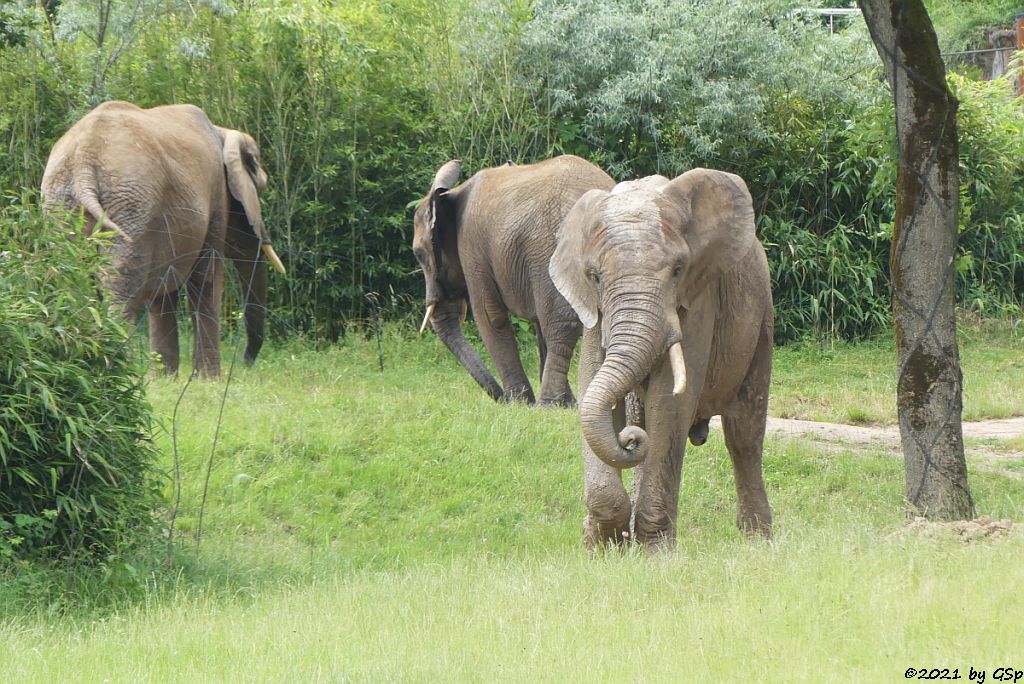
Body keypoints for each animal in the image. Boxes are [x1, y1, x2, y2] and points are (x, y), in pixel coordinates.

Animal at [39, 100, 284, 378]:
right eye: (261, 188)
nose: (246, 361)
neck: (221, 131)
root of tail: (83, 161)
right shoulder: (216, 195)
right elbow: (207, 276)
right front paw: (208, 380)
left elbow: (163, 287)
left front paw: (166, 377)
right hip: (131, 204)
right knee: (120, 283)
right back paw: (120, 371)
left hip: (64, 204)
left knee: (74, 283)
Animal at [411, 154, 610, 405]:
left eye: (418, 254)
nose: (501, 398)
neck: (450, 195)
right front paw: (561, 405)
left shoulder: (472, 247)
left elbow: (490, 316)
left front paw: (520, 403)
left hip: (551, 249)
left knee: (559, 325)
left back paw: (546, 405)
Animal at [548, 167, 770, 552]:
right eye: (594, 277)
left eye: (678, 270)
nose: (629, 440)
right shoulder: (594, 310)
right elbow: (592, 381)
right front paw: (602, 545)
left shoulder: (699, 298)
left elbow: (670, 401)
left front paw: (655, 554)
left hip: (763, 316)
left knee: (744, 434)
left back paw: (758, 543)